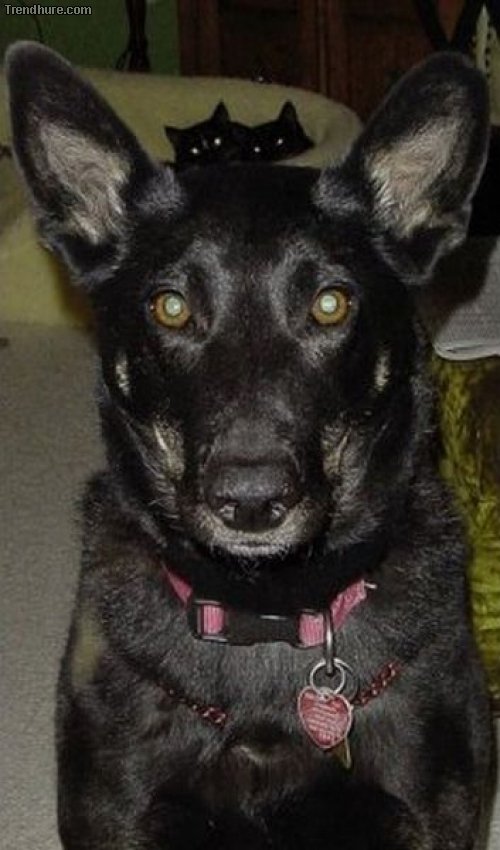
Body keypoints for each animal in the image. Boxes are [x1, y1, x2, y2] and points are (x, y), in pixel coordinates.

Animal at [7, 43, 493, 850]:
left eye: (330, 303)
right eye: (171, 307)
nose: (252, 501)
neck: (267, 610)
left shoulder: (433, 812)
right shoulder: (115, 814)